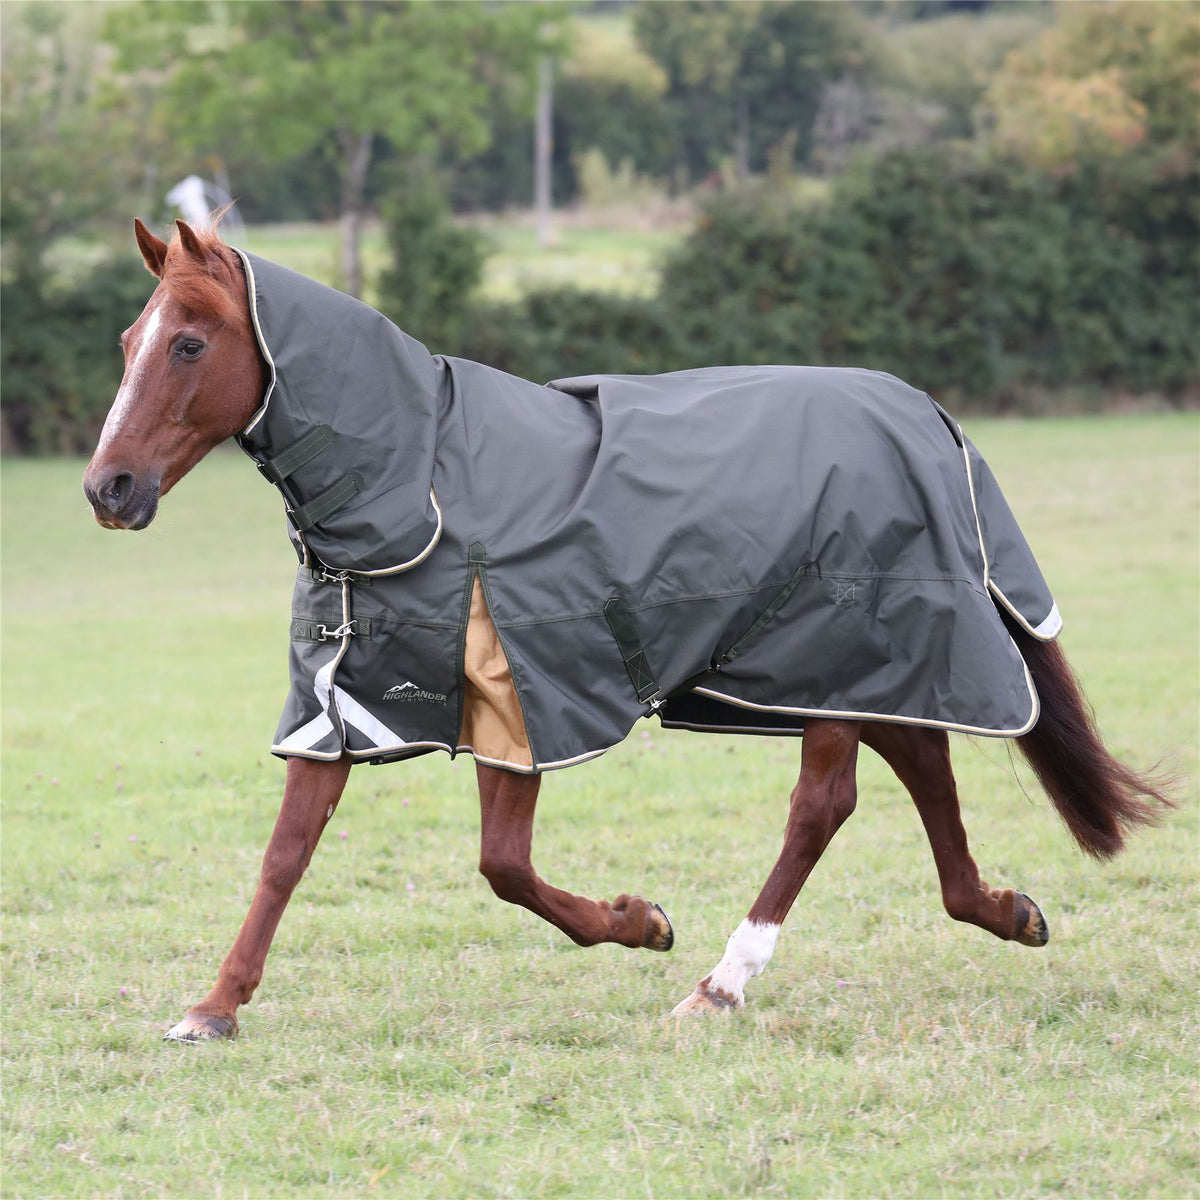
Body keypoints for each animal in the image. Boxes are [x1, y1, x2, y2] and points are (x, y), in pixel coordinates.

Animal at [83, 220, 1170, 1042]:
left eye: (189, 343)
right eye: (128, 342)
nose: (108, 489)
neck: (421, 479)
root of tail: (929, 417)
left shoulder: (519, 697)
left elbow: (504, 866)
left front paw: (641, 924)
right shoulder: (341, 700)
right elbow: (288, 853)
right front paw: (214, 1007)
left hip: (833, 650)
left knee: (824, 805)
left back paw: (724, 983)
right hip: (866, 661)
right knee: (923, 765)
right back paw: (1005, 912)